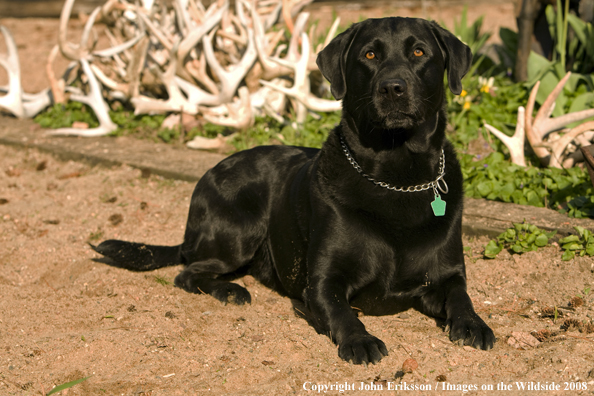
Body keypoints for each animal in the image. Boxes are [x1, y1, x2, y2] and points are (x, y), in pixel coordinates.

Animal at [92, 17, 492, 366]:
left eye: (420, 52)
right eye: (370, 55)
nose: (392, 87)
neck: (397, 175)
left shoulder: (447, 275)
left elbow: (462, 297)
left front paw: (473, 324)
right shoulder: (322, 284)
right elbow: (343, 314)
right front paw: (360, 340)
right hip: (239, 230)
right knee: (187, 271)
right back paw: (230, 290)